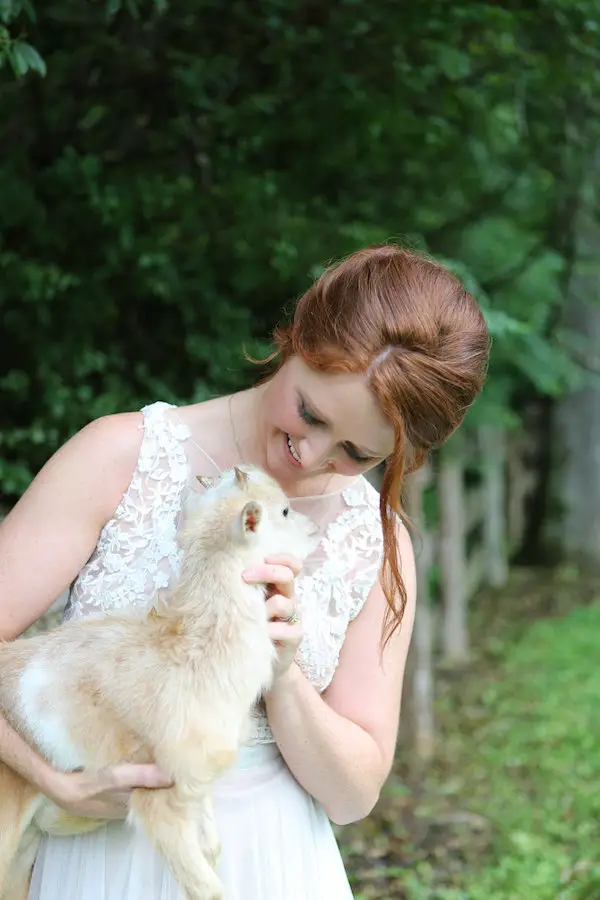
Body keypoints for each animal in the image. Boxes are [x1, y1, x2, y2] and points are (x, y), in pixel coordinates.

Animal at [0, 468, 318, 900]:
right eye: (284, 510)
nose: (314, 528)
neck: (195, 657)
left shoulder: (197, 784)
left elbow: (213, 849)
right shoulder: (160, 801)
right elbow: (209, 890)